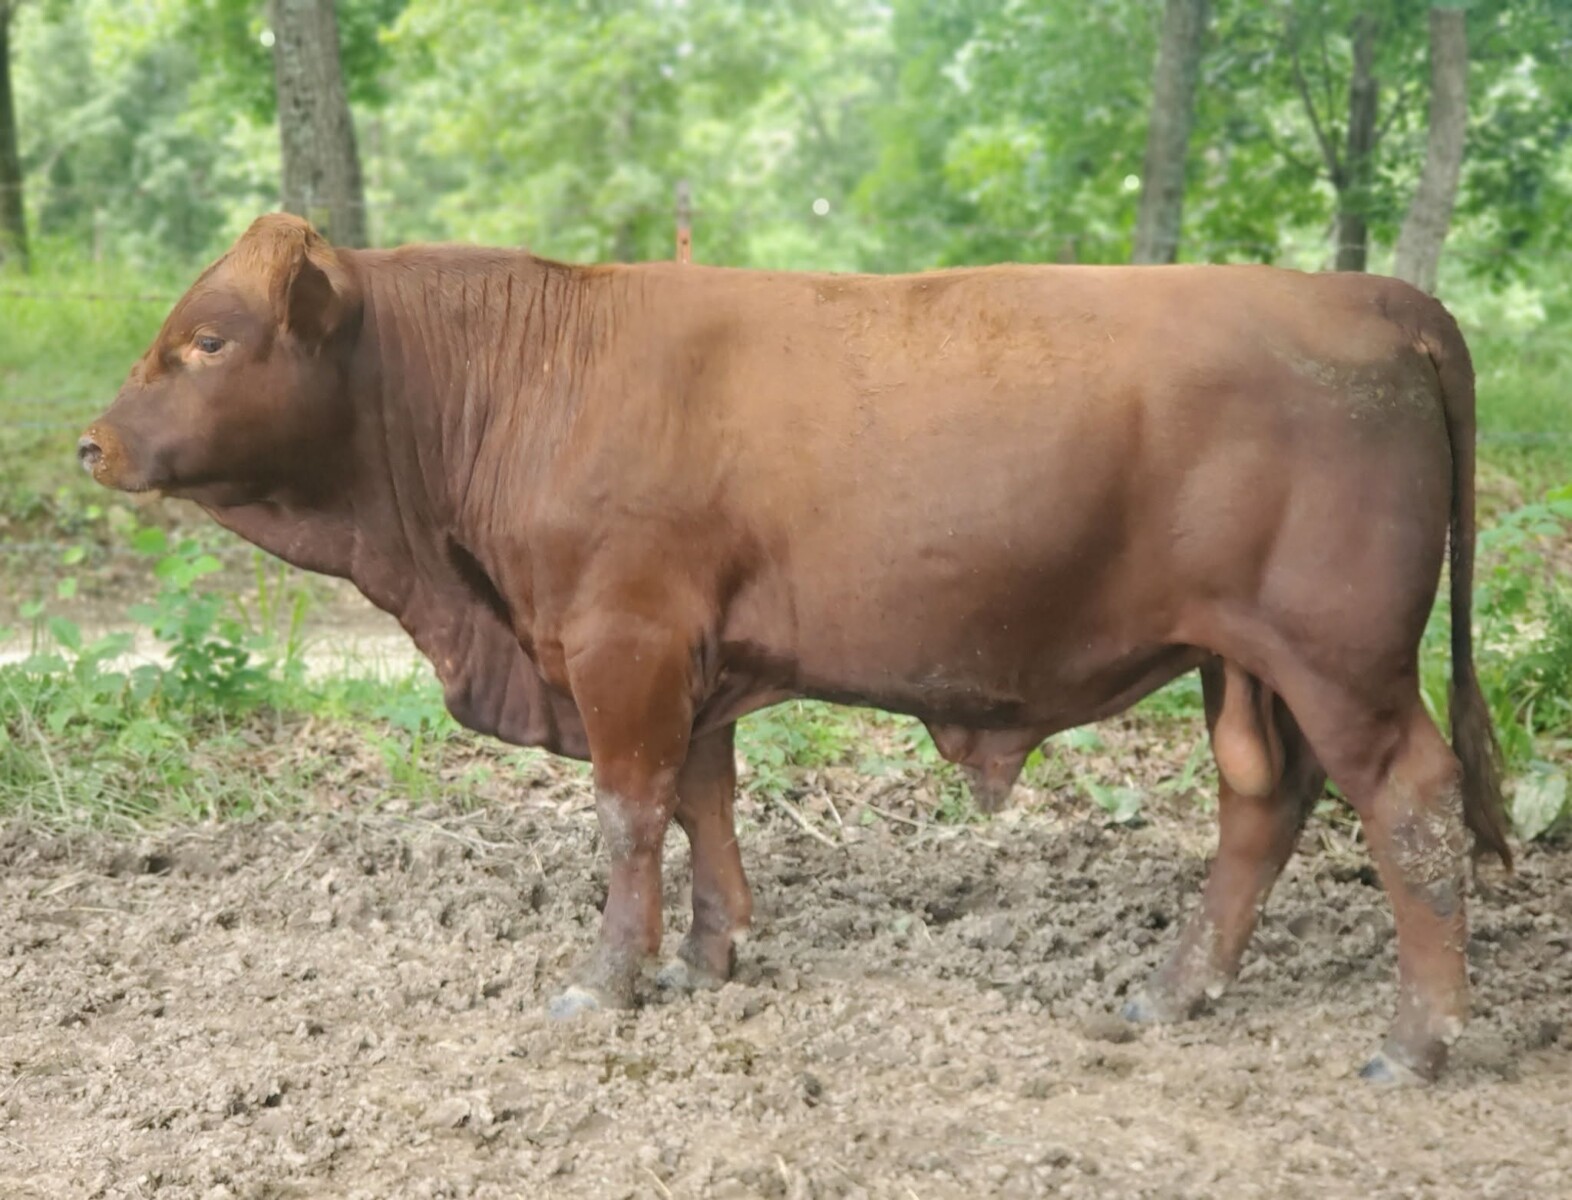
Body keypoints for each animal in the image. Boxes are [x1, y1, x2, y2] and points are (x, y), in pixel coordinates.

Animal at [80, 212, 1511, 1085]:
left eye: (209, 338)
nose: (91, 444)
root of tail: (1366, 292)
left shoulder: (623, 639)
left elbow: (630, 813)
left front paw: (609, 981)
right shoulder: (695, 656)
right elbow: (705, 802)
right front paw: (711, 957)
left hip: (1340, 656)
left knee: (1412, 802)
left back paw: (1419, 1041)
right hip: (1245, 660)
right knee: (1262, 803)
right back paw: (1174, 993)